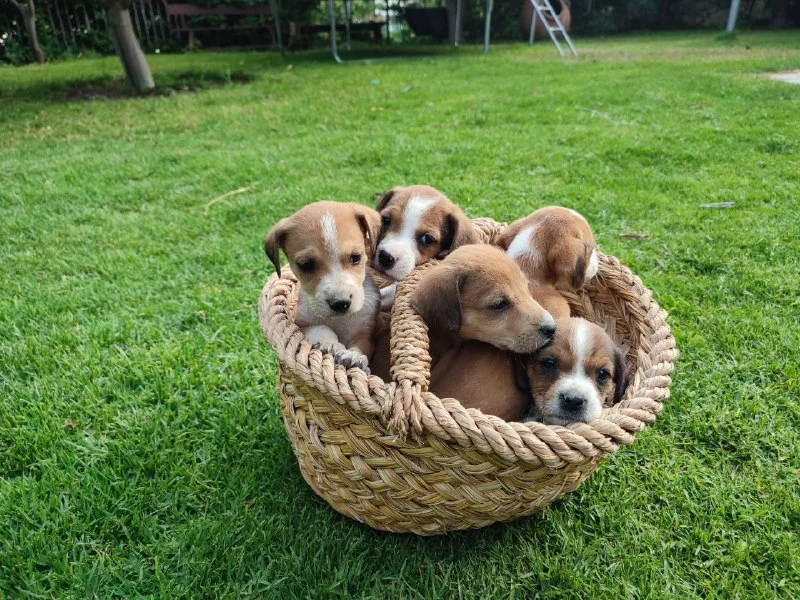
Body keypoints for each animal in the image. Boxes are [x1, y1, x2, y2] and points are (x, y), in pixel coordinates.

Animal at [264, 201, 381, 371]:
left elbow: (361, 346)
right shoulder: (302, 324)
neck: (339, 320)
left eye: (355, 258)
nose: (340, 303)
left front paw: (354, 357)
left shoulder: (366, 332)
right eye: (306, 265)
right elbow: (321, 328)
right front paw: (330, 344)